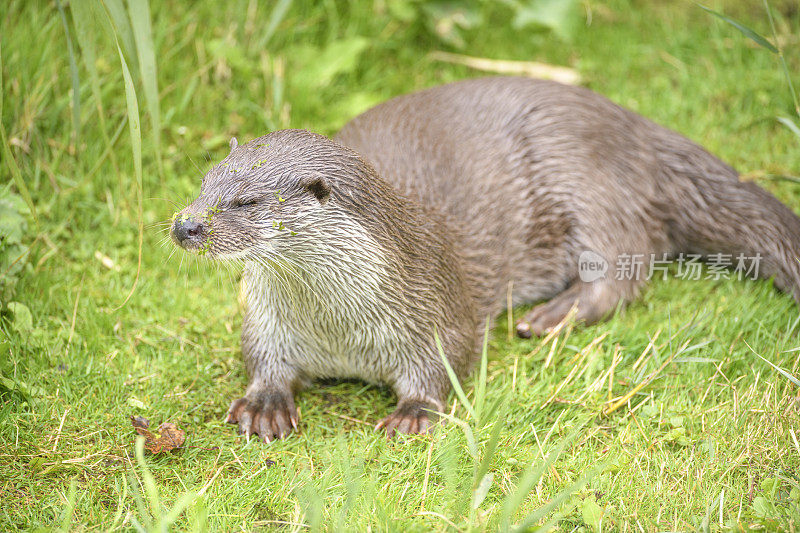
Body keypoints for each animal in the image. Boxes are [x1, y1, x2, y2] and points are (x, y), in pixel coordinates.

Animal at [172, 76, 800, 440]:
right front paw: (266, 403)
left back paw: (549, 316)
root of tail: (634, 124)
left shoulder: (438, 311)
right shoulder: (266, 319)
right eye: (204, 185)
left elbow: (449, 360)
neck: (339, 330)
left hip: (583, 175)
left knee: (625, 266)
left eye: (246, 201)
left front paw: (416, 412)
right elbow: (260, 356)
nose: (185, 225)